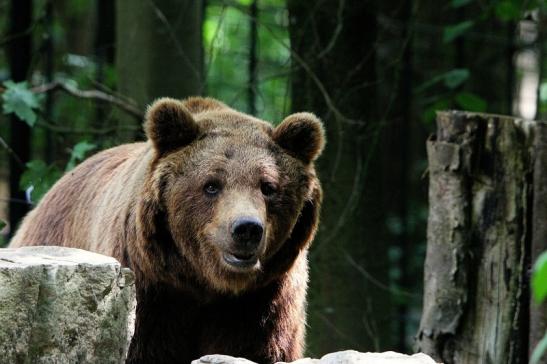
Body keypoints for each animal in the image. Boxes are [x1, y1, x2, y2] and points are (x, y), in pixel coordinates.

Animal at [9, 96, 326, 364]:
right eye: (211, 184)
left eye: (268, 186)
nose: (247, 228)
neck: (204, 282)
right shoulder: (150, 289)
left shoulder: (264, 298)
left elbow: (256, 348)